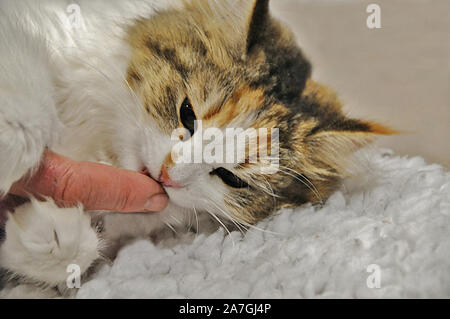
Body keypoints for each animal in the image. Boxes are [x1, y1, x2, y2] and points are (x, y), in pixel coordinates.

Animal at [0, 0, 394, 296]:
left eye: (232, 179)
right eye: (187, 114)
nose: (167, 174)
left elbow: (73, 254)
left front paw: (46, 231)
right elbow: (29, 94)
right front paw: (12, 143)